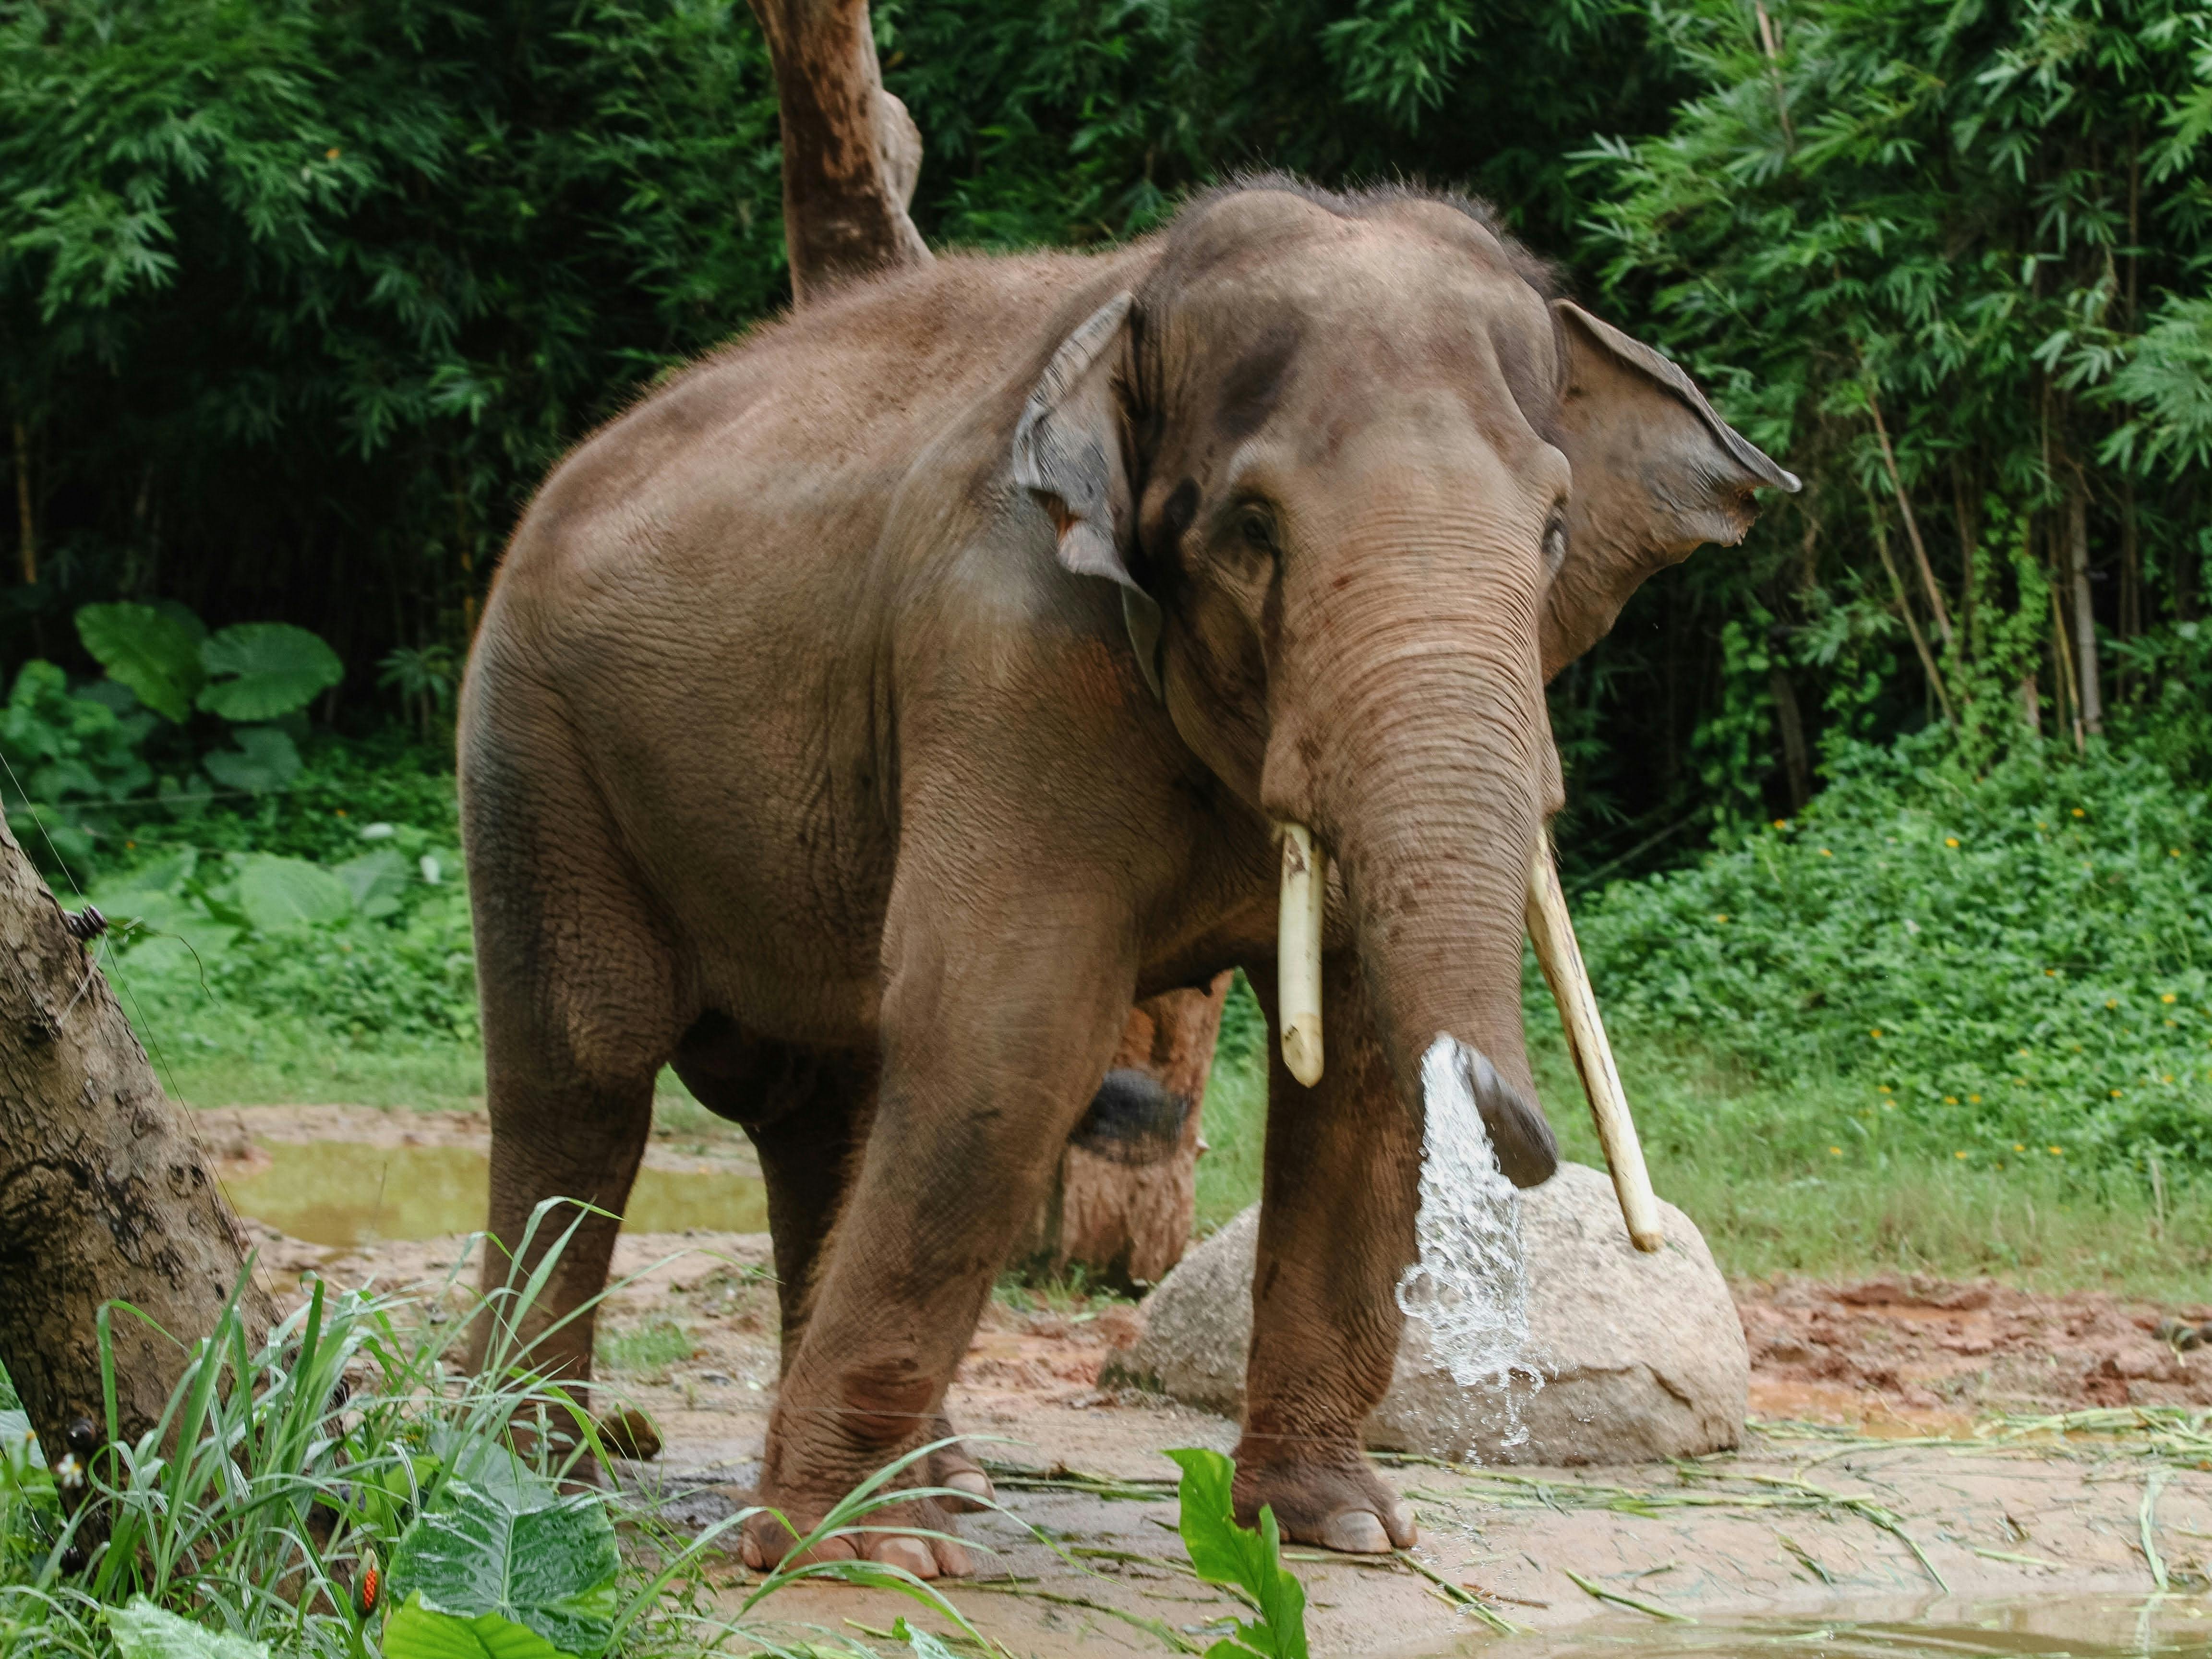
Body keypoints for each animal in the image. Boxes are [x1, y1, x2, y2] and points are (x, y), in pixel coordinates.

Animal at [457, 179, 1787, 1584]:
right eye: (1255, 530)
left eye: (1552, 530)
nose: (1532, 1142)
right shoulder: (1004, 652)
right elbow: (1010, 1031)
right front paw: (849, 1558)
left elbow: (1363, 1070)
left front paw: (1340, 1529)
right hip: (534, 749)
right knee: (584, 1078)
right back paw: (540, 1473)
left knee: (829, 1100)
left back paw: (942, 1486)